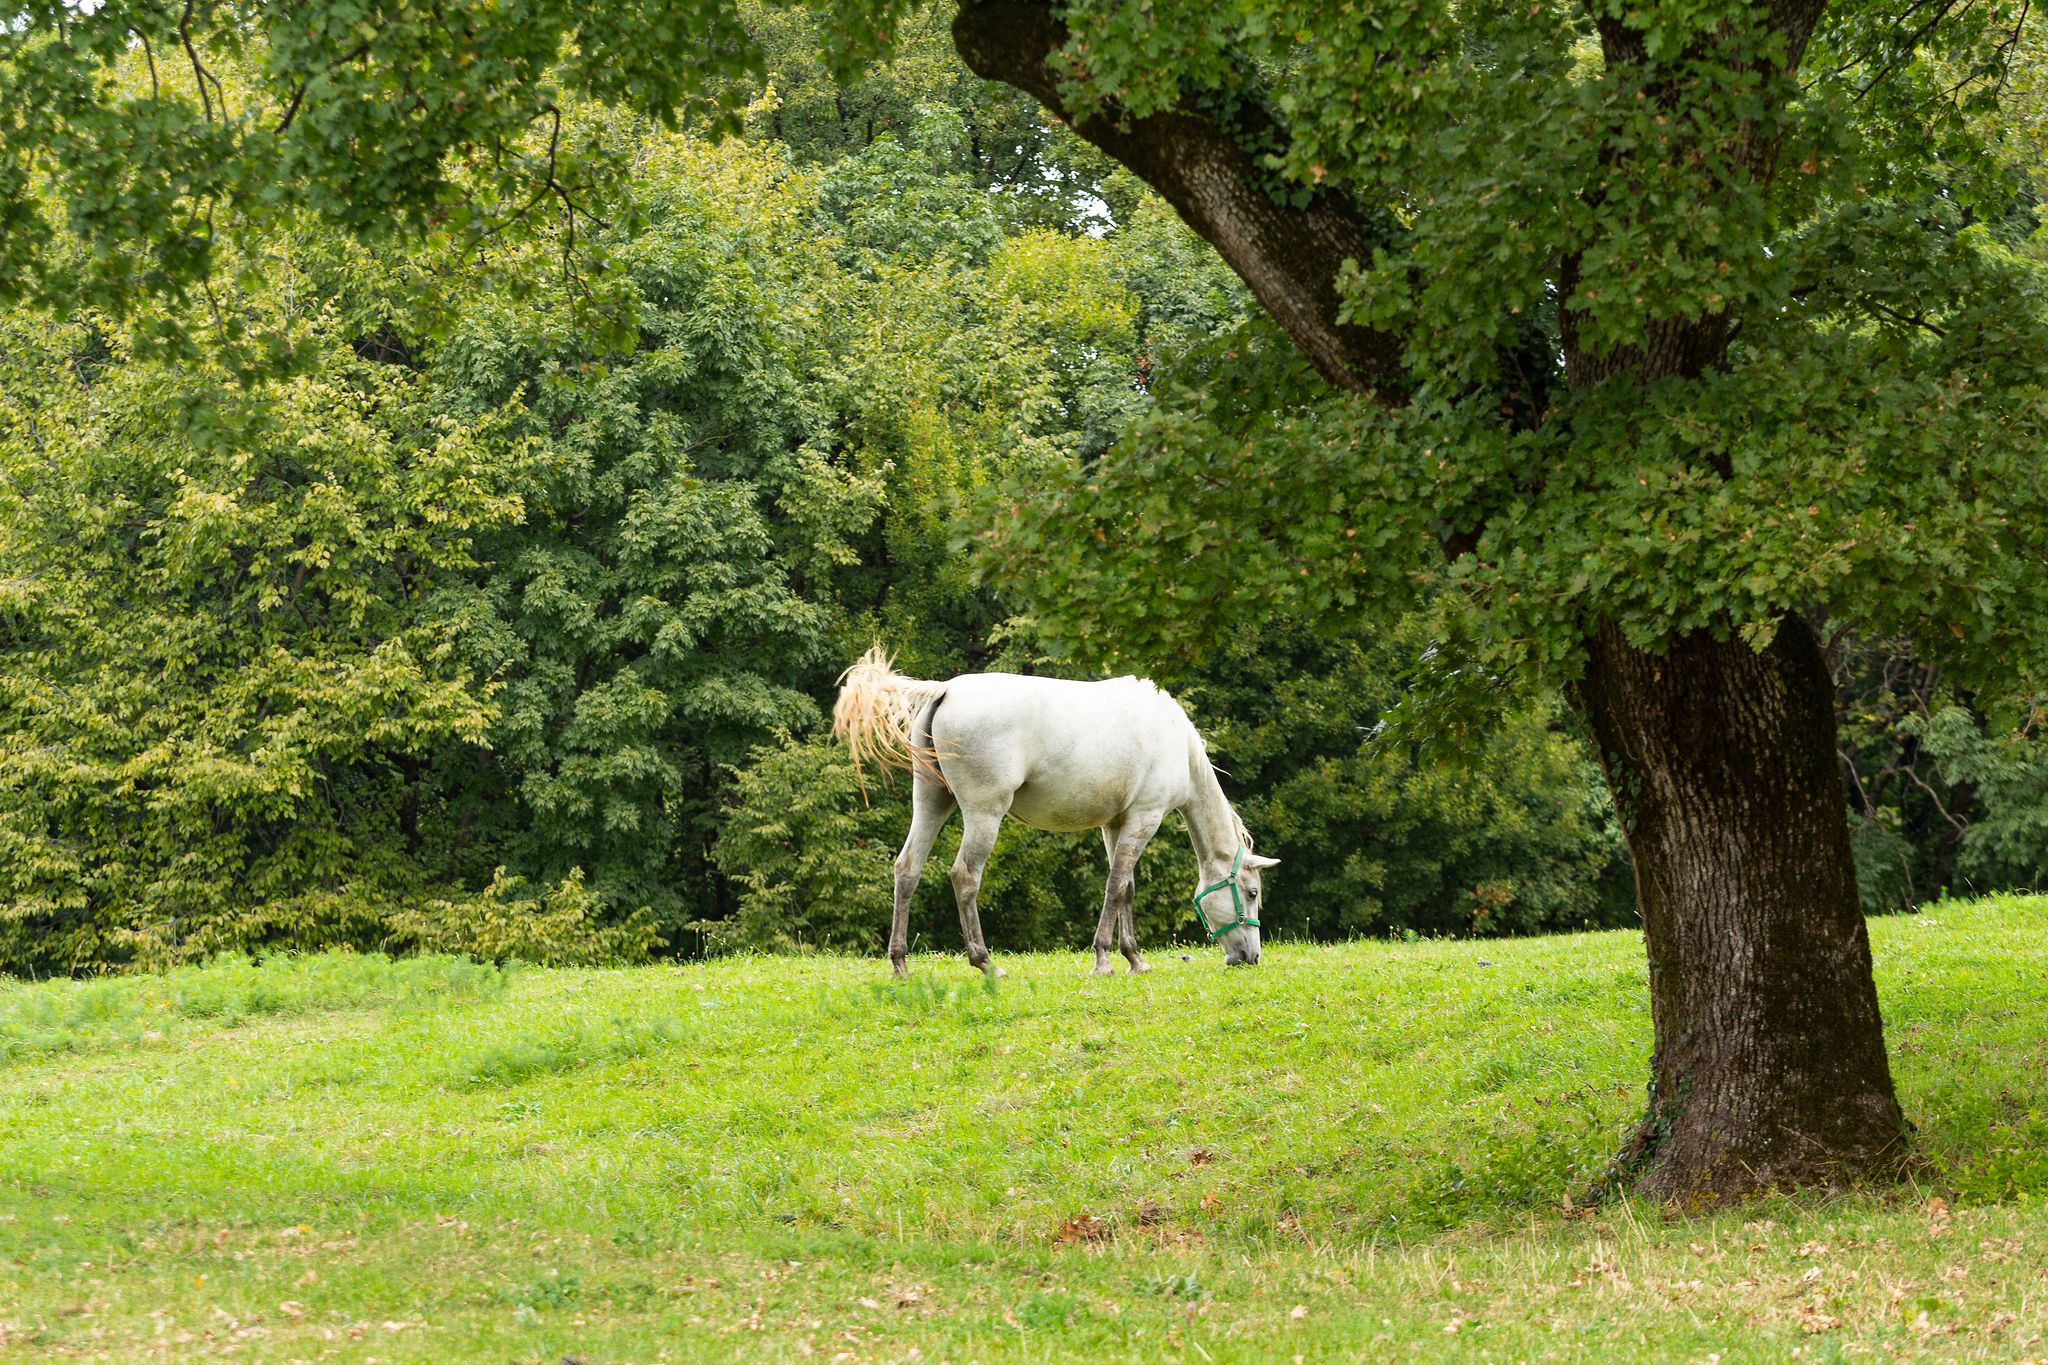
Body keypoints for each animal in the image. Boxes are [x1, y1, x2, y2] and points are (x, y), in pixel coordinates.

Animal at [830, 646, 1277, 976]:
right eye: (1252, 893)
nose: (1251, 957)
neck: (1176, 742)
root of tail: (945, 691)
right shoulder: (1143, 820)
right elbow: (1116, 886)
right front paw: (1103, 959)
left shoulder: (1117, 824)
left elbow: (1126, 888)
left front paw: (1134, 958)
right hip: (984, 814)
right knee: (965, 876)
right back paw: (985, 962)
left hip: (931, 802)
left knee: (907, 869)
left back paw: (900, 965)